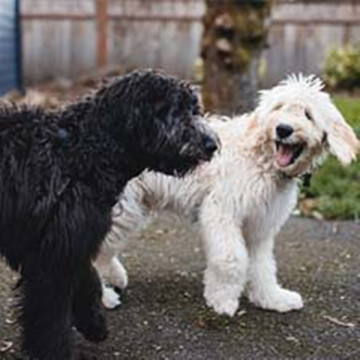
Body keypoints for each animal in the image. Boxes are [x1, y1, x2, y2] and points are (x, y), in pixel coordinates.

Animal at [0, 69, 217, 358]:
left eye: (194, 109)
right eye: (175, 110)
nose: (212, 144)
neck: (81, 152)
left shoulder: (74, 242)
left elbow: (88, 280)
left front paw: (94, 324)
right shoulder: (53, 256)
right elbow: (50, 316)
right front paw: (57, 350)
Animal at [94, 75, 358, 316]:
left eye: (307, 114)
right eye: (278, 107)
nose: (283, 129)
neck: (261, 160)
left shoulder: (260, 225)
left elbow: (262, 265)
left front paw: (271, 298)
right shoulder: (221, 210)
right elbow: (231, 259)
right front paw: (222, 300)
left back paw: (114, 276)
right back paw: (103, 296)